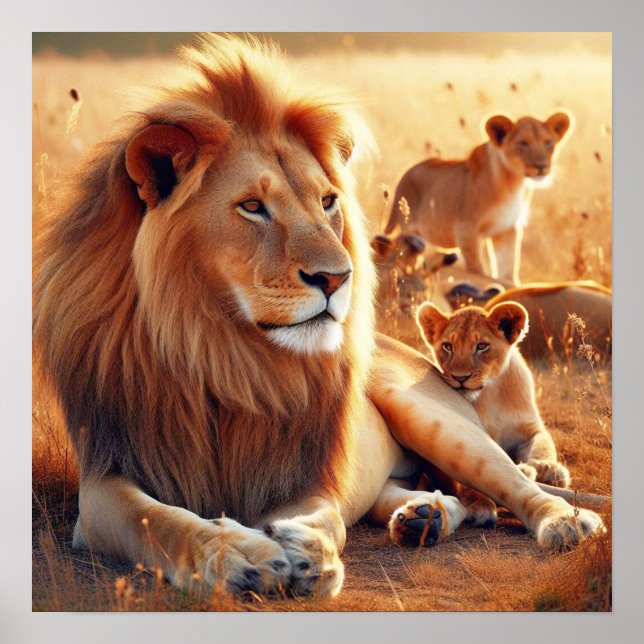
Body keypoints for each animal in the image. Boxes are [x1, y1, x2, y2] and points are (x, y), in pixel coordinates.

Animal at [383, 112, 572, 285]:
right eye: (523, 143)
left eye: (548, 143)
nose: (542, 166)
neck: (513, 184)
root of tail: (405, 174)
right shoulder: (466, 229)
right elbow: (477, 269)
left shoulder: (506, 229)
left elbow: (508, 264)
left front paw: (511, 284)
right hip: (409, 227)